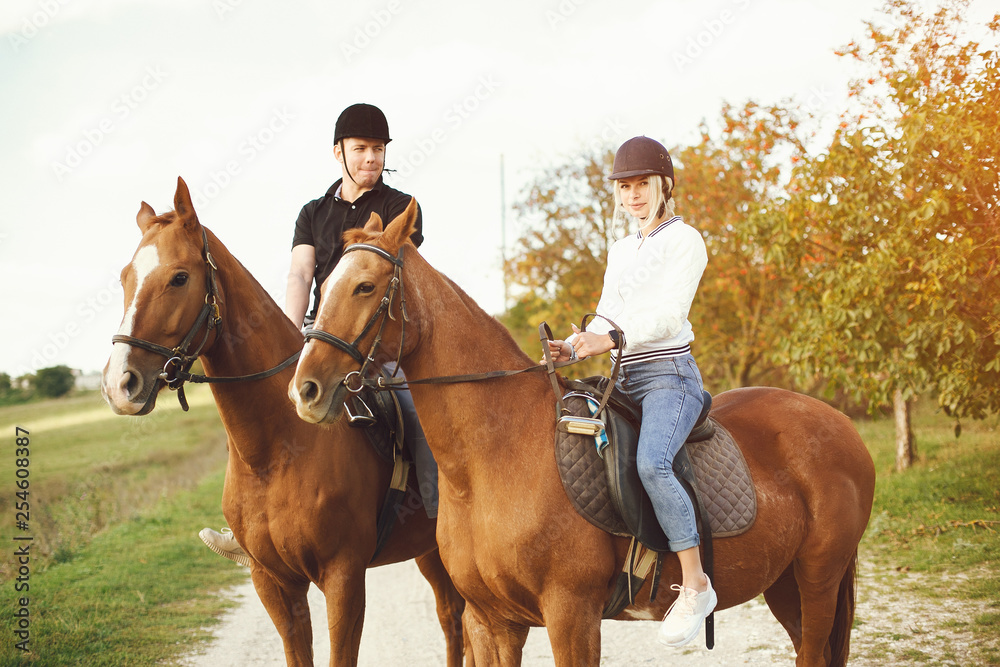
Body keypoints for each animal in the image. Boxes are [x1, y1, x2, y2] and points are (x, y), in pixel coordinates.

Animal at [99, 179, 466, 667]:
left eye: (179, 277)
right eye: (126, 278)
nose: (119, 383)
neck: (275, 452)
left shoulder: (344, 578)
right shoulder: (273, 582)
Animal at [288, 201, 876, 664]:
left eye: (365, 286)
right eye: (325, 283)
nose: (306, 390)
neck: (491, 461)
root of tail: (839, 423)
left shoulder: (571, 614)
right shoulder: (492, 620)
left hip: (818, 578)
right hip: (785, 583)